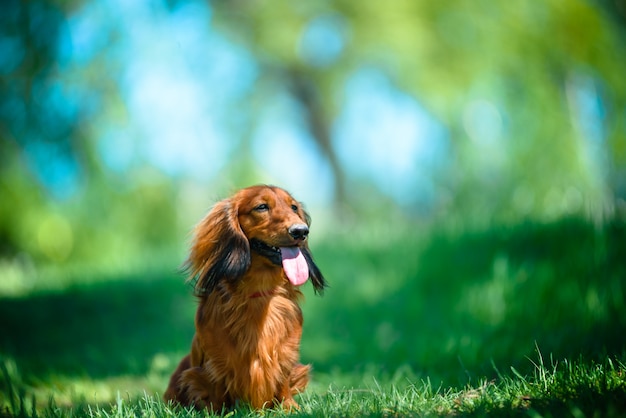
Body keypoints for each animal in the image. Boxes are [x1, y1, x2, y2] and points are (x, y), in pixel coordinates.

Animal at [161, 185, 326, 410]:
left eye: (293, 207)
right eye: (261, 207)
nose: (301, 231)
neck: (259, 294)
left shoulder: (286, 353)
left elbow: (282, 378)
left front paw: (290, 407)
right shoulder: (214, 362)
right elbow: (217, 386)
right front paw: (220, 411)